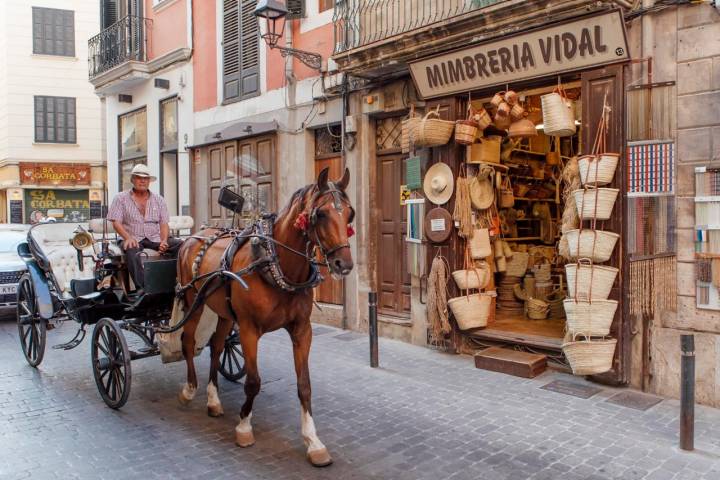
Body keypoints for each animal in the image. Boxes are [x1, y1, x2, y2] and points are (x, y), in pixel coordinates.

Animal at [175, 168, 354, 464]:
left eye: (350, 214)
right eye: (321, 214)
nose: (344, 264)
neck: (276, 264)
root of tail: (191, 237)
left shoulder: (302, 330)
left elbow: (304, 385)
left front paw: (313, 441)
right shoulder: (249, 329)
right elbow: (253, 382)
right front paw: (244, 427)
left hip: (224, 313)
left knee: (216, 347)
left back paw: (213, 400)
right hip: (193, 301)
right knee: (188, 341)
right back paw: (189, 389)